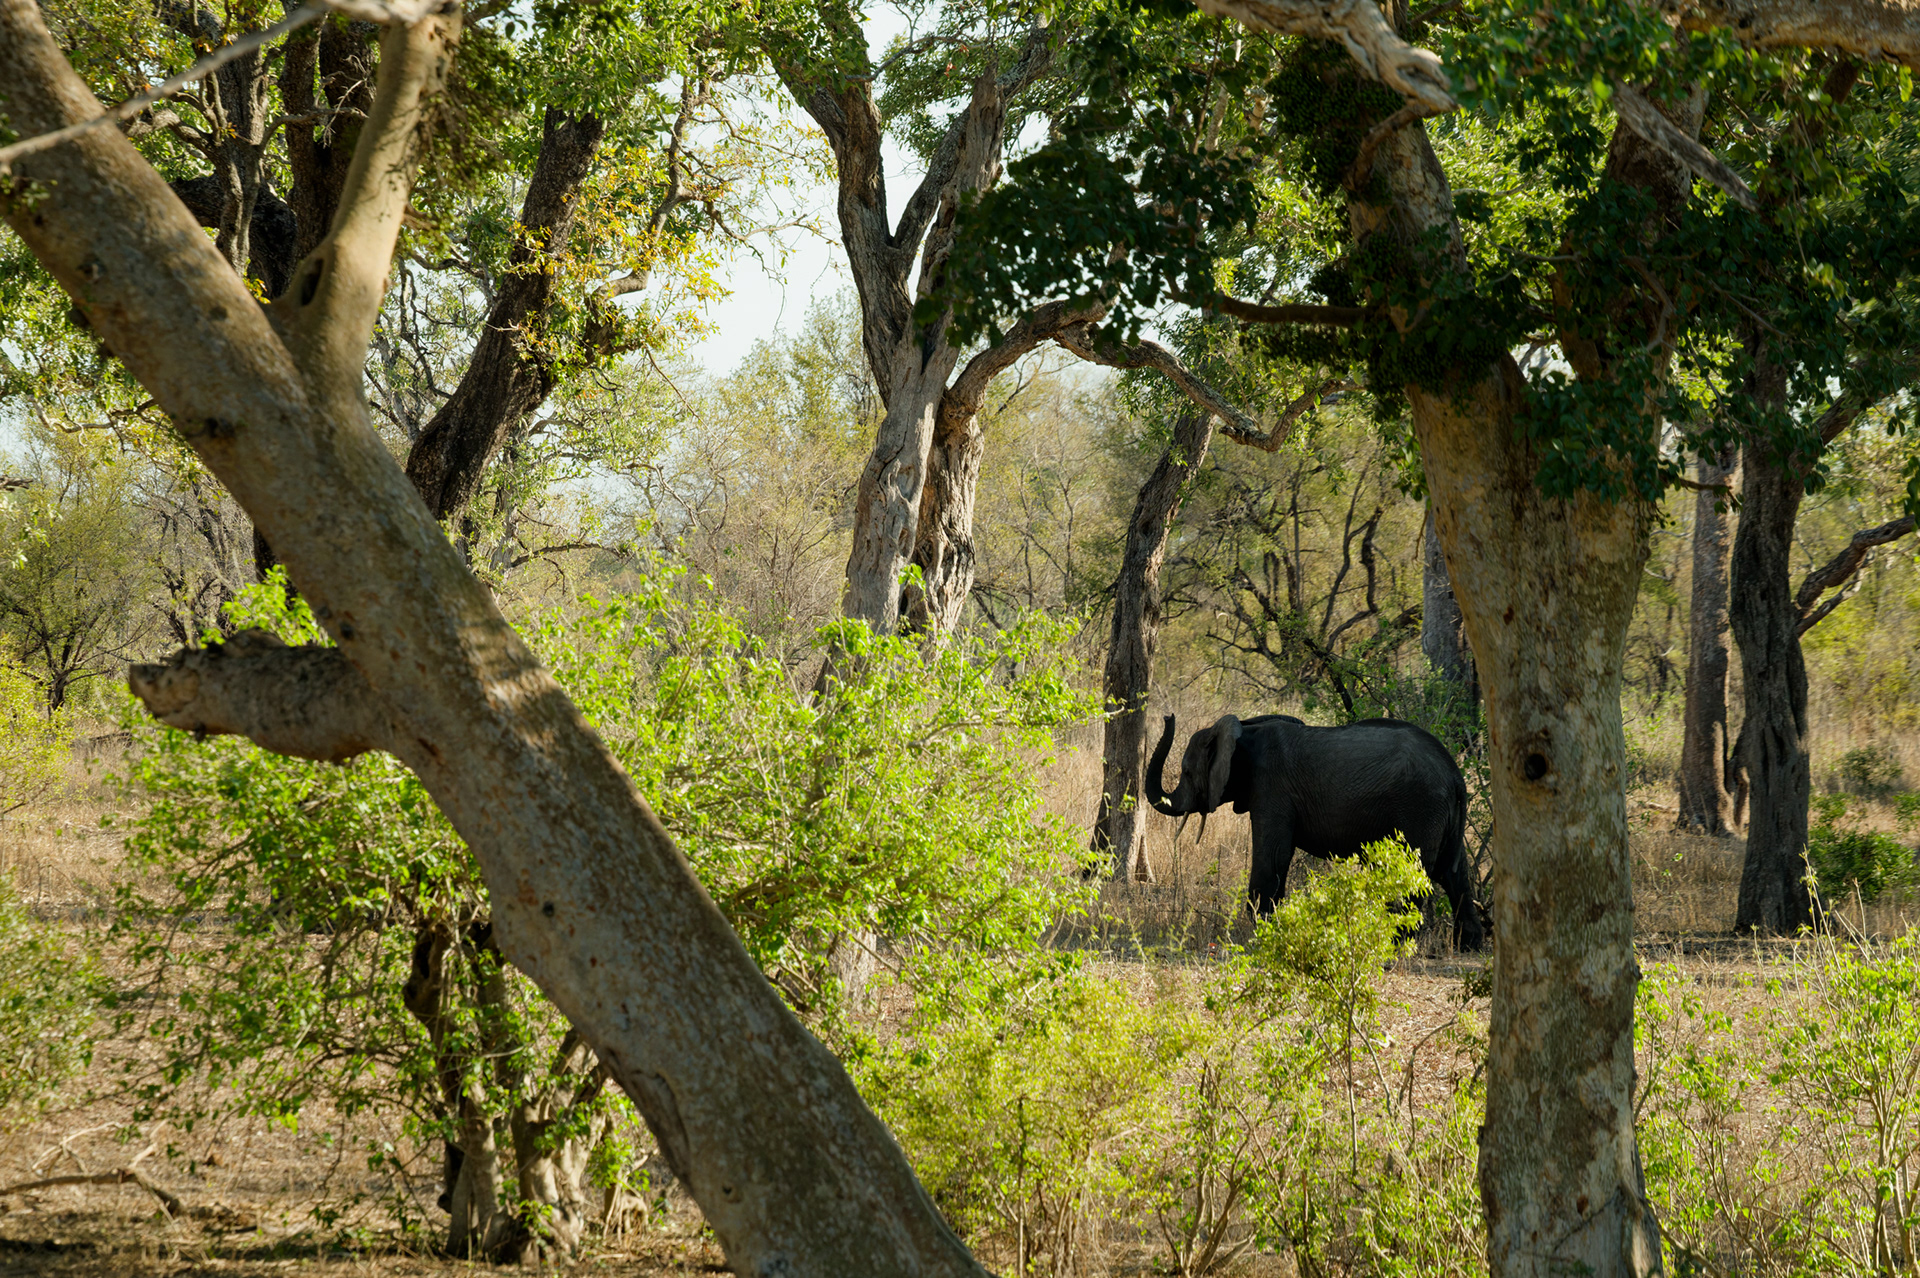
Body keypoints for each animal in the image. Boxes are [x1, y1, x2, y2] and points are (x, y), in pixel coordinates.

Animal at [1146, 713, 1486, 950]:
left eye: (1187, 772)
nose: (1167, 717)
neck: (1244, 730)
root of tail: (1455, 776)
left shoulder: (1272, 789)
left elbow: (1273, 856)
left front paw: (1261, 930)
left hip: (1419, 808)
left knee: (1413, 872)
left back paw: (1397, 943)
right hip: (1440, 815)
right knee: (1453, 874)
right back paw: (1468, 946)